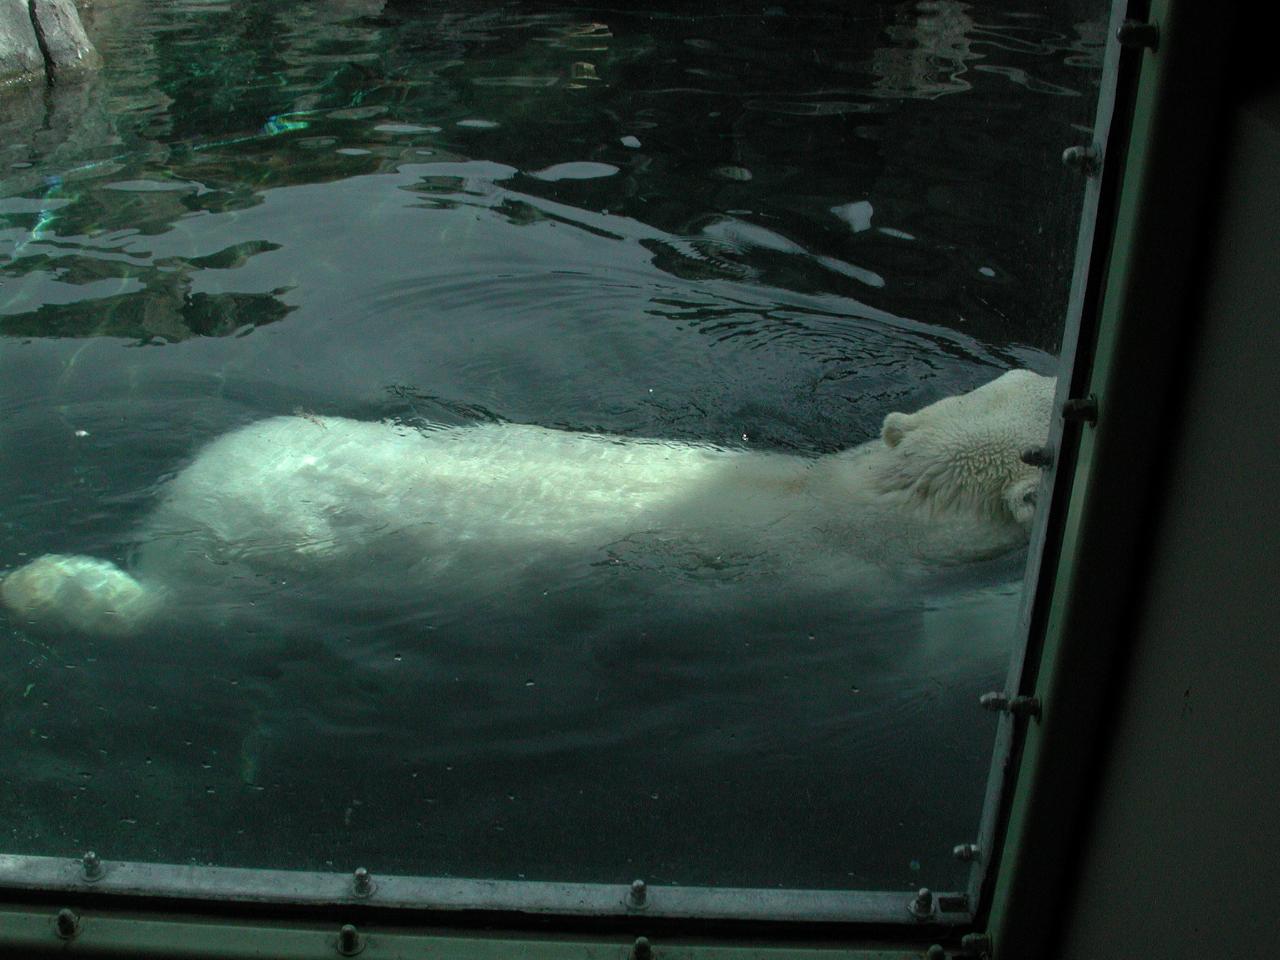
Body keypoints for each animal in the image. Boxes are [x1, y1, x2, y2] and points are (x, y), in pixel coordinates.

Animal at [5, 368, 1054, 640]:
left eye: (1027, 374)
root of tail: (189, 496)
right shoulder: (851, 586)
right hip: (276, 562)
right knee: (179, 605)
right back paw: (42, 585)